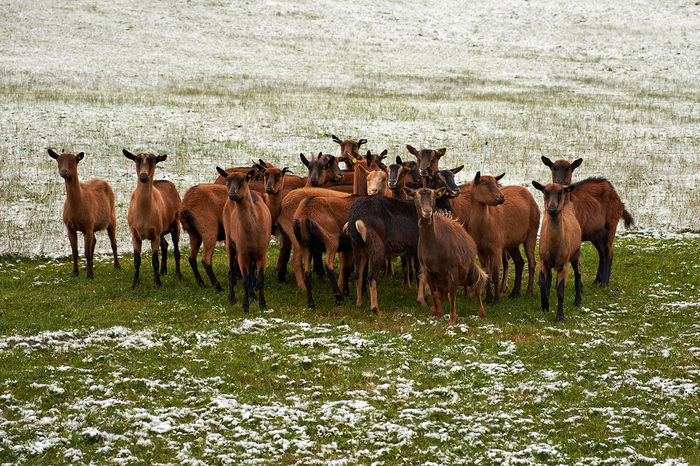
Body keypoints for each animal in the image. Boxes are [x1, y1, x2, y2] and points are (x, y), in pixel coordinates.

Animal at [124, 149, 182, 288]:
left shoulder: (155, 234)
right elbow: (136, 261)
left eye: (153, 160)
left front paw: (157, 284)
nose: (143, 176)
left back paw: (178, 275)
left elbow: (155, 260)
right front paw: (135, 284)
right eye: (137, 159)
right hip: (161, 229)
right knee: (165, 245)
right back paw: (163, 271)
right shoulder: (135, 234)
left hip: (175, 224)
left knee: (176, 251)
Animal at [216, 167, 274, 314]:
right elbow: (245, 280)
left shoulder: (262, 252)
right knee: (231, 271)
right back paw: (232, 298)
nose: (232, 194)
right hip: (230, 243)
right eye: (227, 180)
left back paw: (252, 294)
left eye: (243, 180)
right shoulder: (242, 253)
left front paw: (262, 305)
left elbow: (259, 280)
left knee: (250, 271)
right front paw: (245, 306)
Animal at [468, 173, 540, 304]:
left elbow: (495, 274)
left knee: (532, 262)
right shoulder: (480, 250)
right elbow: (487, 274)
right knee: (519, 262)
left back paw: (529, 292)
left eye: (496, 184)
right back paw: (514, 293)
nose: (501, 197)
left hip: (532, 231)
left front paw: (497, 300)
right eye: (484, 183)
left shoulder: (496, 247)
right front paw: (488, 298)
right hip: (512, 242)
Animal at [532, 181, 584, 320]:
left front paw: (560, 316)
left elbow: (560, 291)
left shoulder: (563, 265)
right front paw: (545, 304)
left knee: (578, 273)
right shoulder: (543, 261)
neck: (554, 246)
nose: (551, 208)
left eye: (561, 192)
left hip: (576, 253)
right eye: (545, 191)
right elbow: (542, 283)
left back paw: (578, 300)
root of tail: (567, 204)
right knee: (549, 278)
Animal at [540, 156, 636, 288]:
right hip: (596, 233)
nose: (559, 182)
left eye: (569, 168)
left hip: (611, 226)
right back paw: (597, 281)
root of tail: (620, 201)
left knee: (609, 254)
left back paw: (604, 283)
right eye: (553, 167)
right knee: (602, 254)